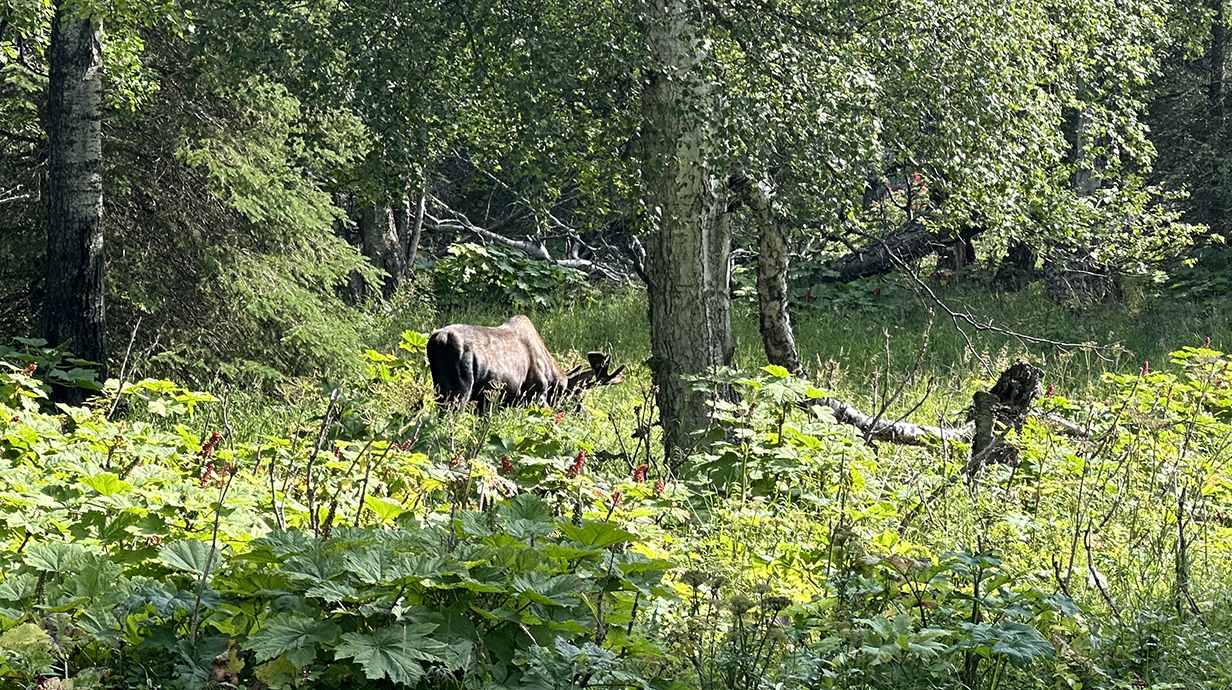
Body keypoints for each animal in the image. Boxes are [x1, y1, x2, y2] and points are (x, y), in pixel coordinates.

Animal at [427, 315, 625, 410]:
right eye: (576, 396)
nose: (584, 415)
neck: (554, 379)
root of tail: (437, 341)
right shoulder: (537, 393)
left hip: (440, 389)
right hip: (459, 390)